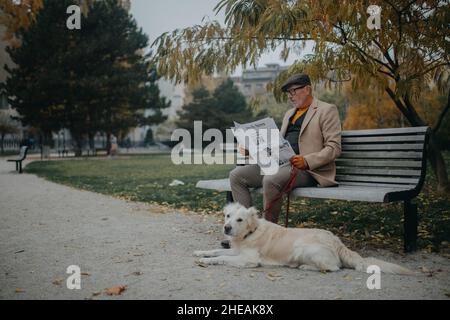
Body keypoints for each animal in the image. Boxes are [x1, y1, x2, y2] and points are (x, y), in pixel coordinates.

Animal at [195, 204, 414, 274]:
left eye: (240, 219)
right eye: (227, 216)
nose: (227, 227)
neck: (250, 232)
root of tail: (337, 241)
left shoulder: (248, 259)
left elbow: (222, 257)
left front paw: (206, 260)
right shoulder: (235, 249)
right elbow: (217, 250)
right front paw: (201, 252)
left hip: (304, 248)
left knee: (334, 268)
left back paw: (305, 267)